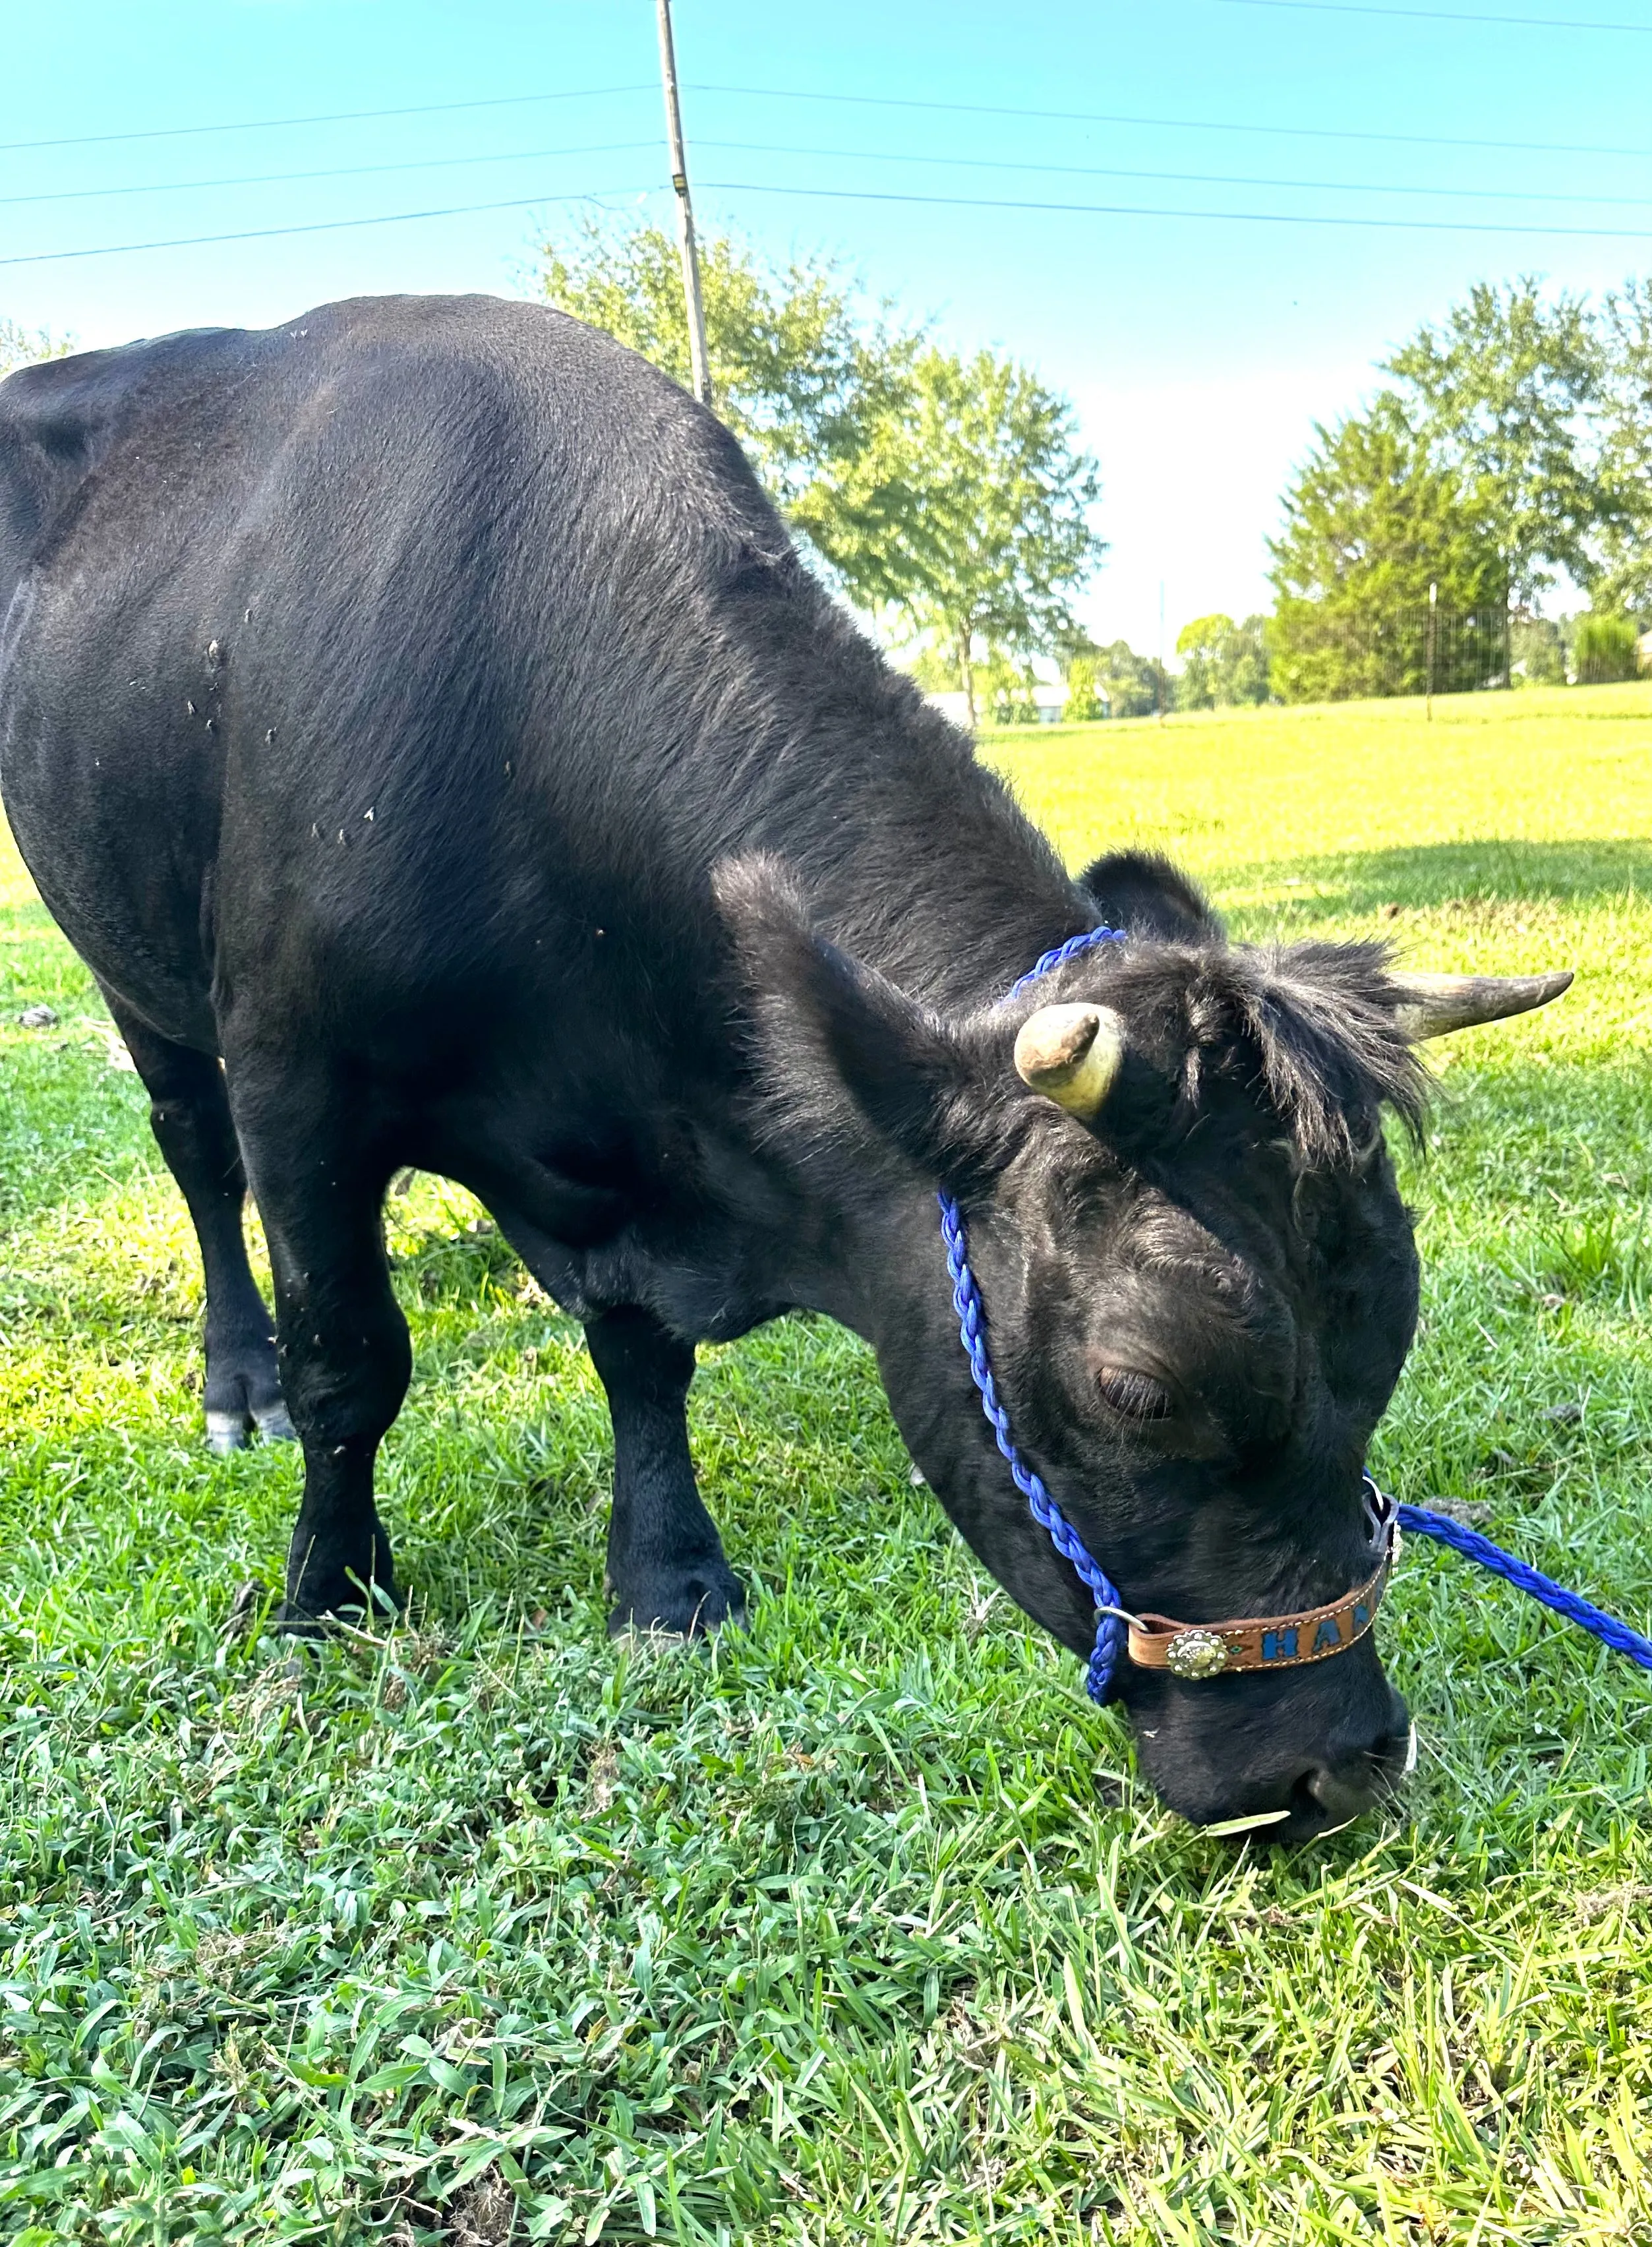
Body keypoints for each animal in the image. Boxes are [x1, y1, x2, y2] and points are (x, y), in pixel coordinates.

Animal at [0, 303, 1573, 1842]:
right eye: (1136, 1386)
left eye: (1387, 1338)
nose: (1346, 1761)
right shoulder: (300, 1079)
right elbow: (353, 1361)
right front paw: (327, 1591)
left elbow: (641, 1356)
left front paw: (668, 1574)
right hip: (130, 964)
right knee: (193, 1151)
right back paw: (238, 1381)